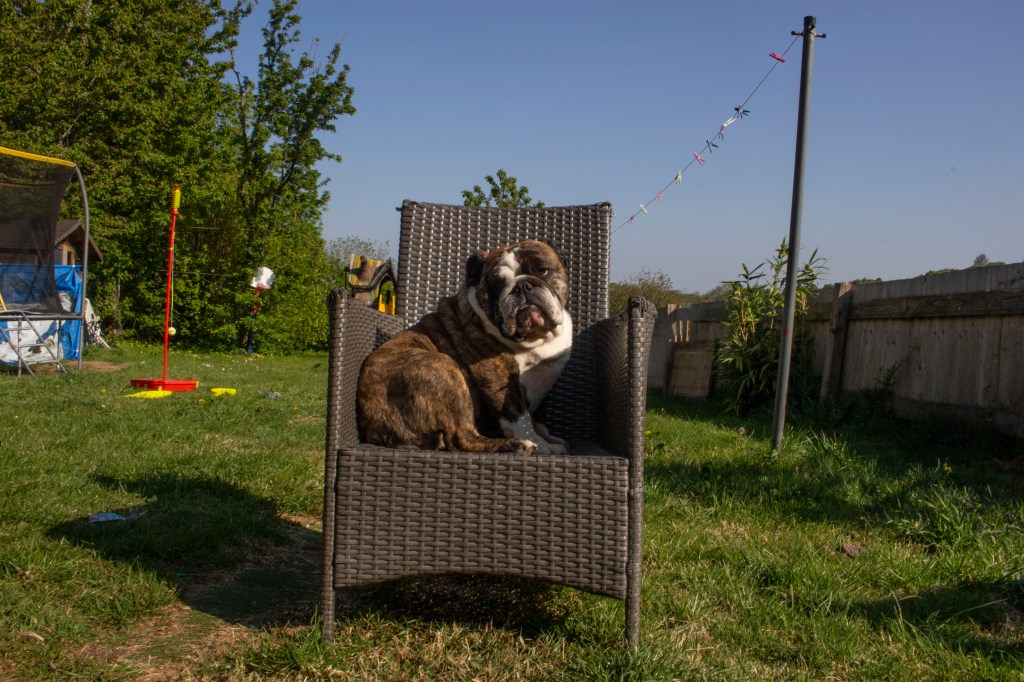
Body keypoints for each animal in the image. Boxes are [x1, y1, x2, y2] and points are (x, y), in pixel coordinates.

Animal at [357, 239, 572, 455]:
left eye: (543, 271)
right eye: (497, 285)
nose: (521, 286)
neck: (538, 337)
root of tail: (373, 429)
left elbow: (539, 419)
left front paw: (548, 437)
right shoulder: (499, 377)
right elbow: (520, 417)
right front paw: (542, 445)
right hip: (442, 367)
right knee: (462, 438)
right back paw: (518, 445)